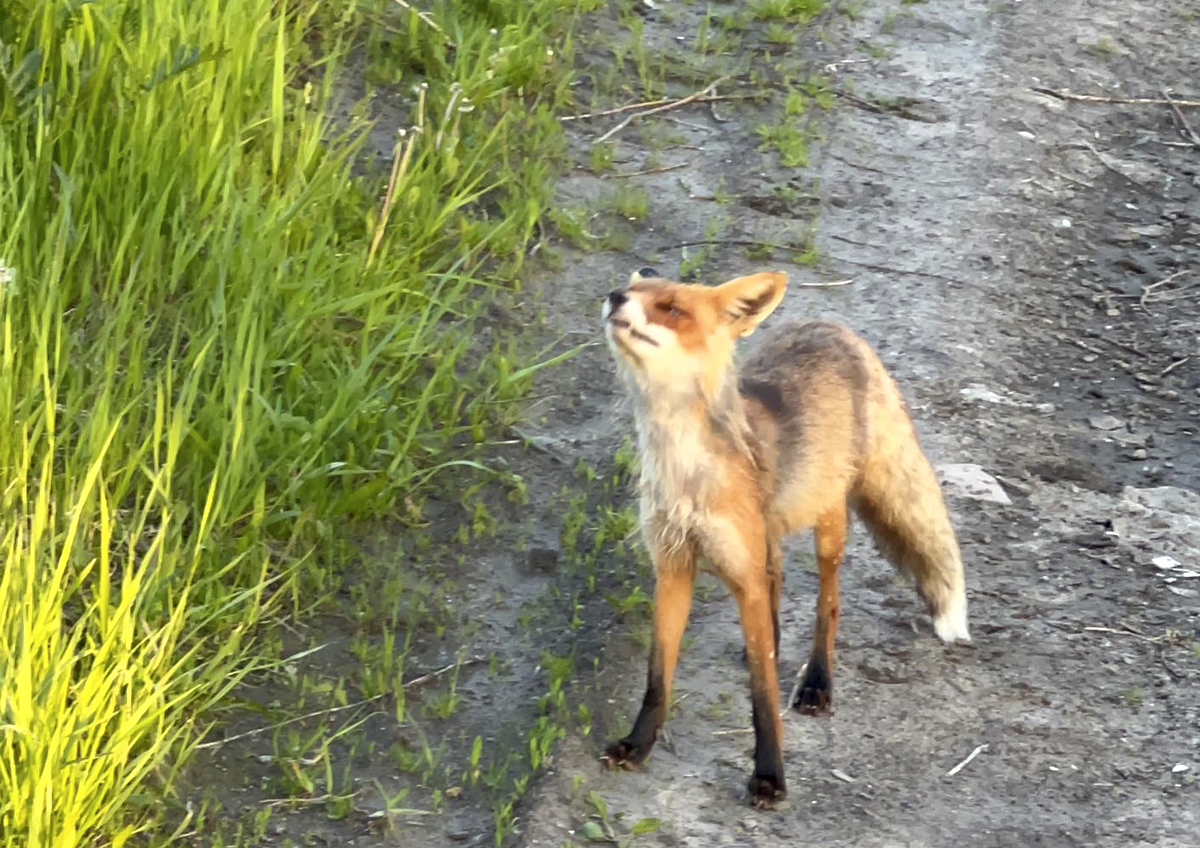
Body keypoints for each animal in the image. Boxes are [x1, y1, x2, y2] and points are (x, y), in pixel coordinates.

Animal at [595, 268, 969, 806]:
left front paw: (770, 775)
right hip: (765, 539)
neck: (685, 471)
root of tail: (837, 329)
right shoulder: (673, 565)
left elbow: (763, 694)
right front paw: (638, 744)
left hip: (828, 526)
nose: (614, 295)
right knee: (776, 586)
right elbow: (657, 677)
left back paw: (817, 681)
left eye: (672, 308)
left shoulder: (737, 570)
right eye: (633, 287)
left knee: (828, 603)